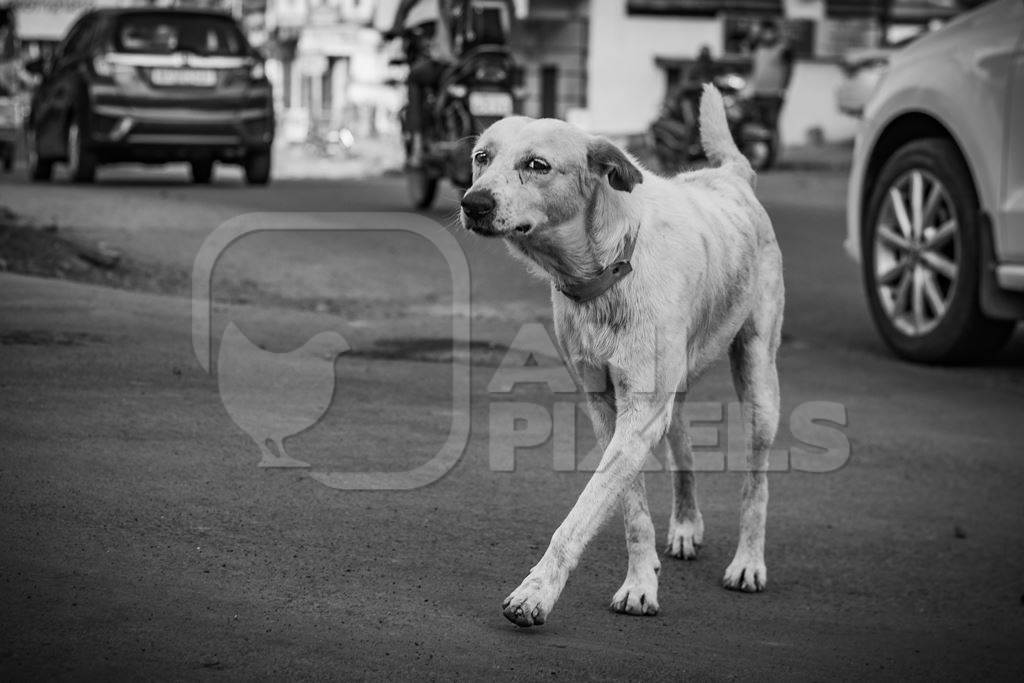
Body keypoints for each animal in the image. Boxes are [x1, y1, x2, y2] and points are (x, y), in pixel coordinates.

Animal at [460, 87, 786, 630]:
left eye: (537, 164)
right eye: (481, 158)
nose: (473, 203)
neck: (608, 267)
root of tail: (731, 175)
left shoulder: (640, 415)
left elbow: (583, 513)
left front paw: (536, 593)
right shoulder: (607, 407)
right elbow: (631, 509)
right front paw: (641, 580)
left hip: (759, 381)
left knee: (756, 482)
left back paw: (748, 562)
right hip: (676, 386)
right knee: (684, 448)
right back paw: (685, 526)